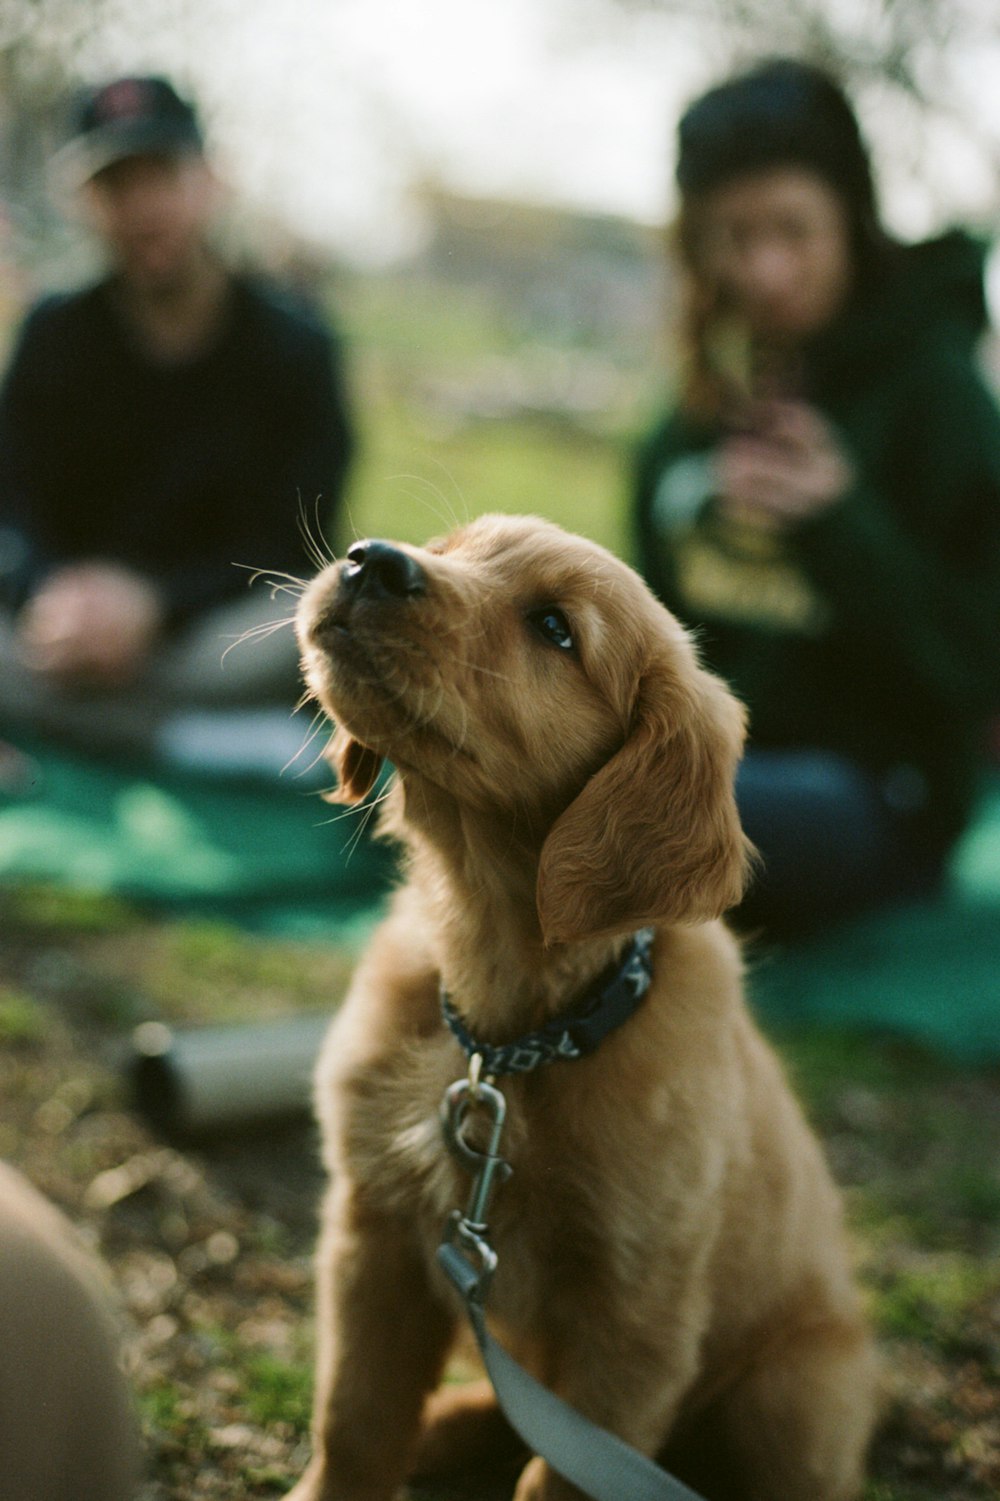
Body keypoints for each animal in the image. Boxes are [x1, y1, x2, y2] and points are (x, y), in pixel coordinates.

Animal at [286, 519, 870, 1501]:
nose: (374, 559)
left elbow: (564, 1473)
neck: (515, 1039)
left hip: (794, 1393)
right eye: (450, 545)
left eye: (556, 629)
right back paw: (446, 1426)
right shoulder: (376, 1239)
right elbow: (354, 1418)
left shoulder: (638, 1317)